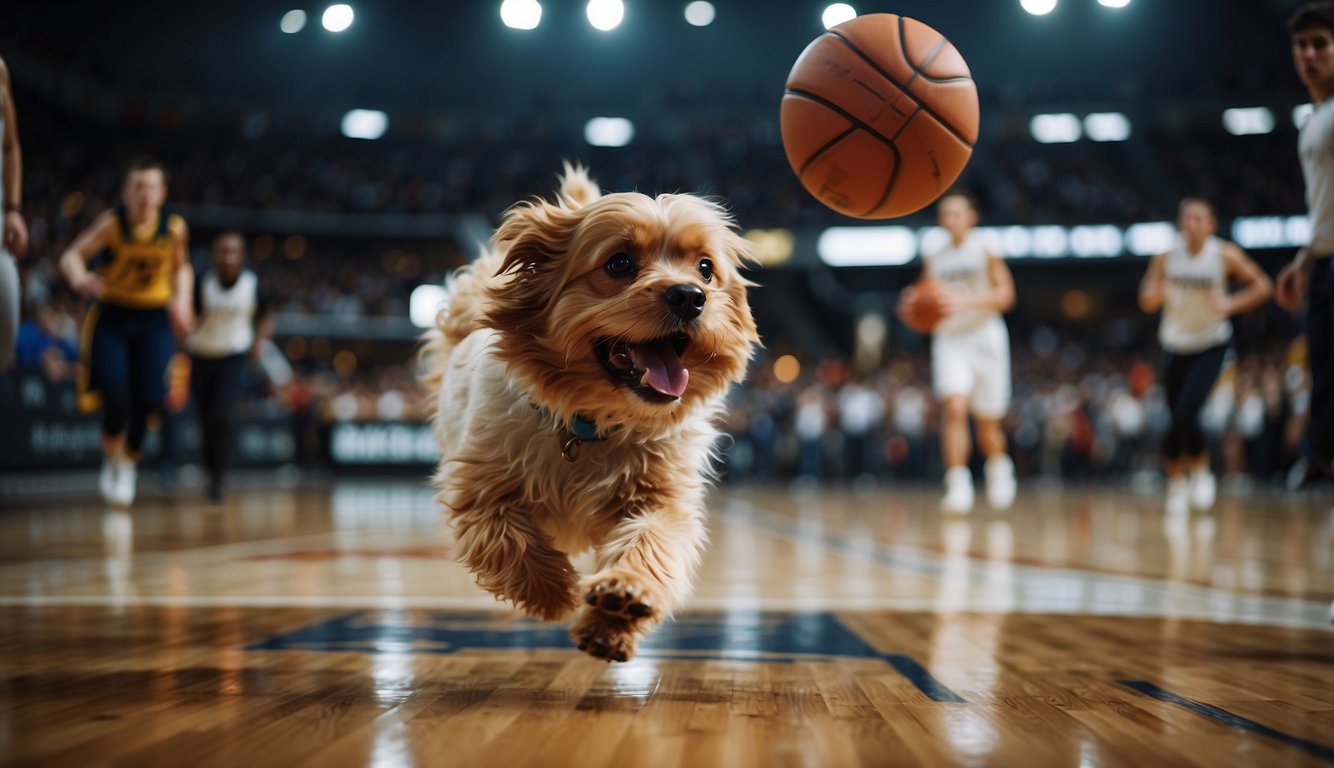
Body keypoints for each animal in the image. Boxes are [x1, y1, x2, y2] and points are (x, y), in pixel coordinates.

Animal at [424, 162, 763, 661]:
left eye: (705, 268)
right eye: (619, 263)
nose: (690, 295)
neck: (589, 424)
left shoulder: (663, 501)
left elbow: (651, 544)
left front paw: (620, 603)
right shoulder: (480, 492)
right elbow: (513, 544)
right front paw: (553, 594)